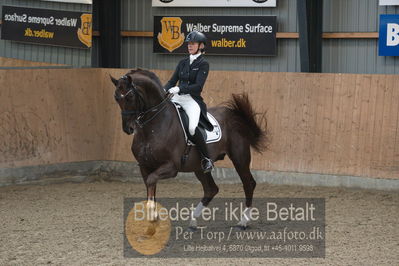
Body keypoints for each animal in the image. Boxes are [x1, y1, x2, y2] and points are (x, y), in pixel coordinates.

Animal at [111, 68, 268, 231]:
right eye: (116, 98)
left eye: (129, 96)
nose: (128, 128)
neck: (153, 126)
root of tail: (233, 115)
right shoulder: (144, 166)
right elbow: (150, 187)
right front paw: (152, 218)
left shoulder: (171, 167)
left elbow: (151, 181)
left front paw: (153, 217)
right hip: (199, 167)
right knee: (211, 189)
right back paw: (193, 222)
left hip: (239, 158)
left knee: (248, 184)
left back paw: (243, 222)